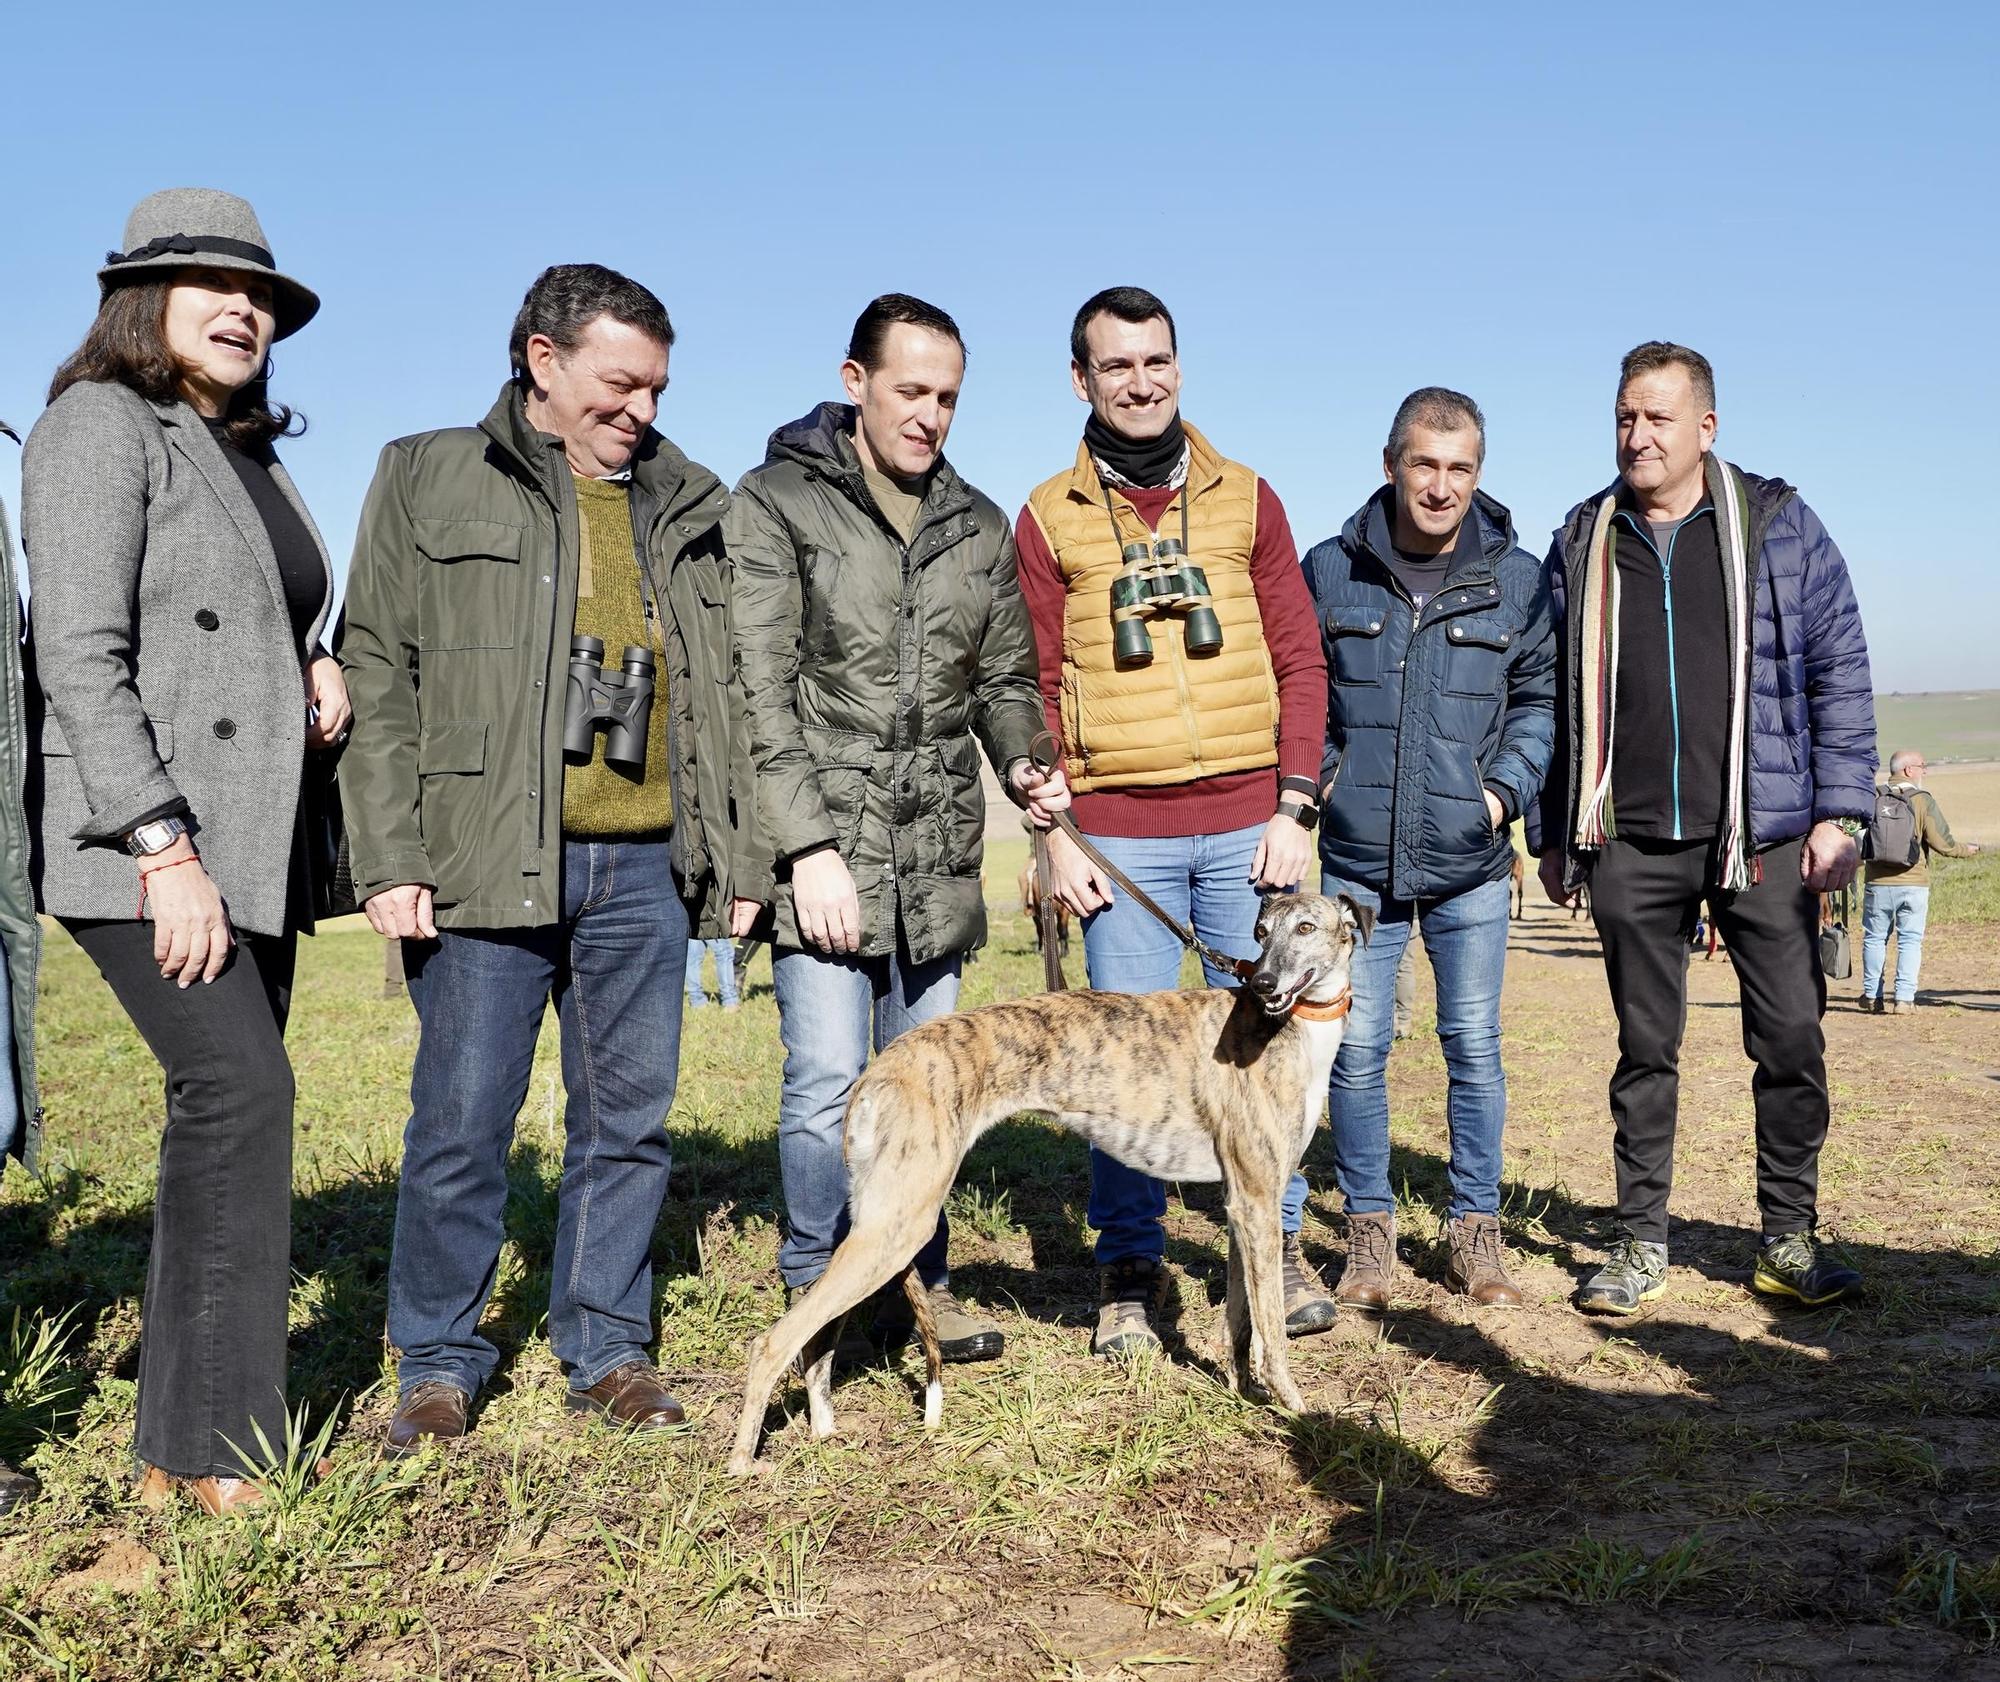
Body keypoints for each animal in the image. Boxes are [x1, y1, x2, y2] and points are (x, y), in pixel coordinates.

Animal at [736, 892, 1376, 1472]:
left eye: (1305, 927)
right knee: (775, 1339)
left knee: (817, 1336)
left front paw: (1243, 1390)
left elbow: (1243, 1318)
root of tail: (882, 1067)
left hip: (882, 1222)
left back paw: (823, 1429)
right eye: (1262, 932)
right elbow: (1271, 1330)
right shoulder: (1258, 1200)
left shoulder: (1244, 1202)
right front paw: (1294, 1408)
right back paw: (744, 1460)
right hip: (898, 1223)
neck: (1287, 1029)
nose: (1263, 983)